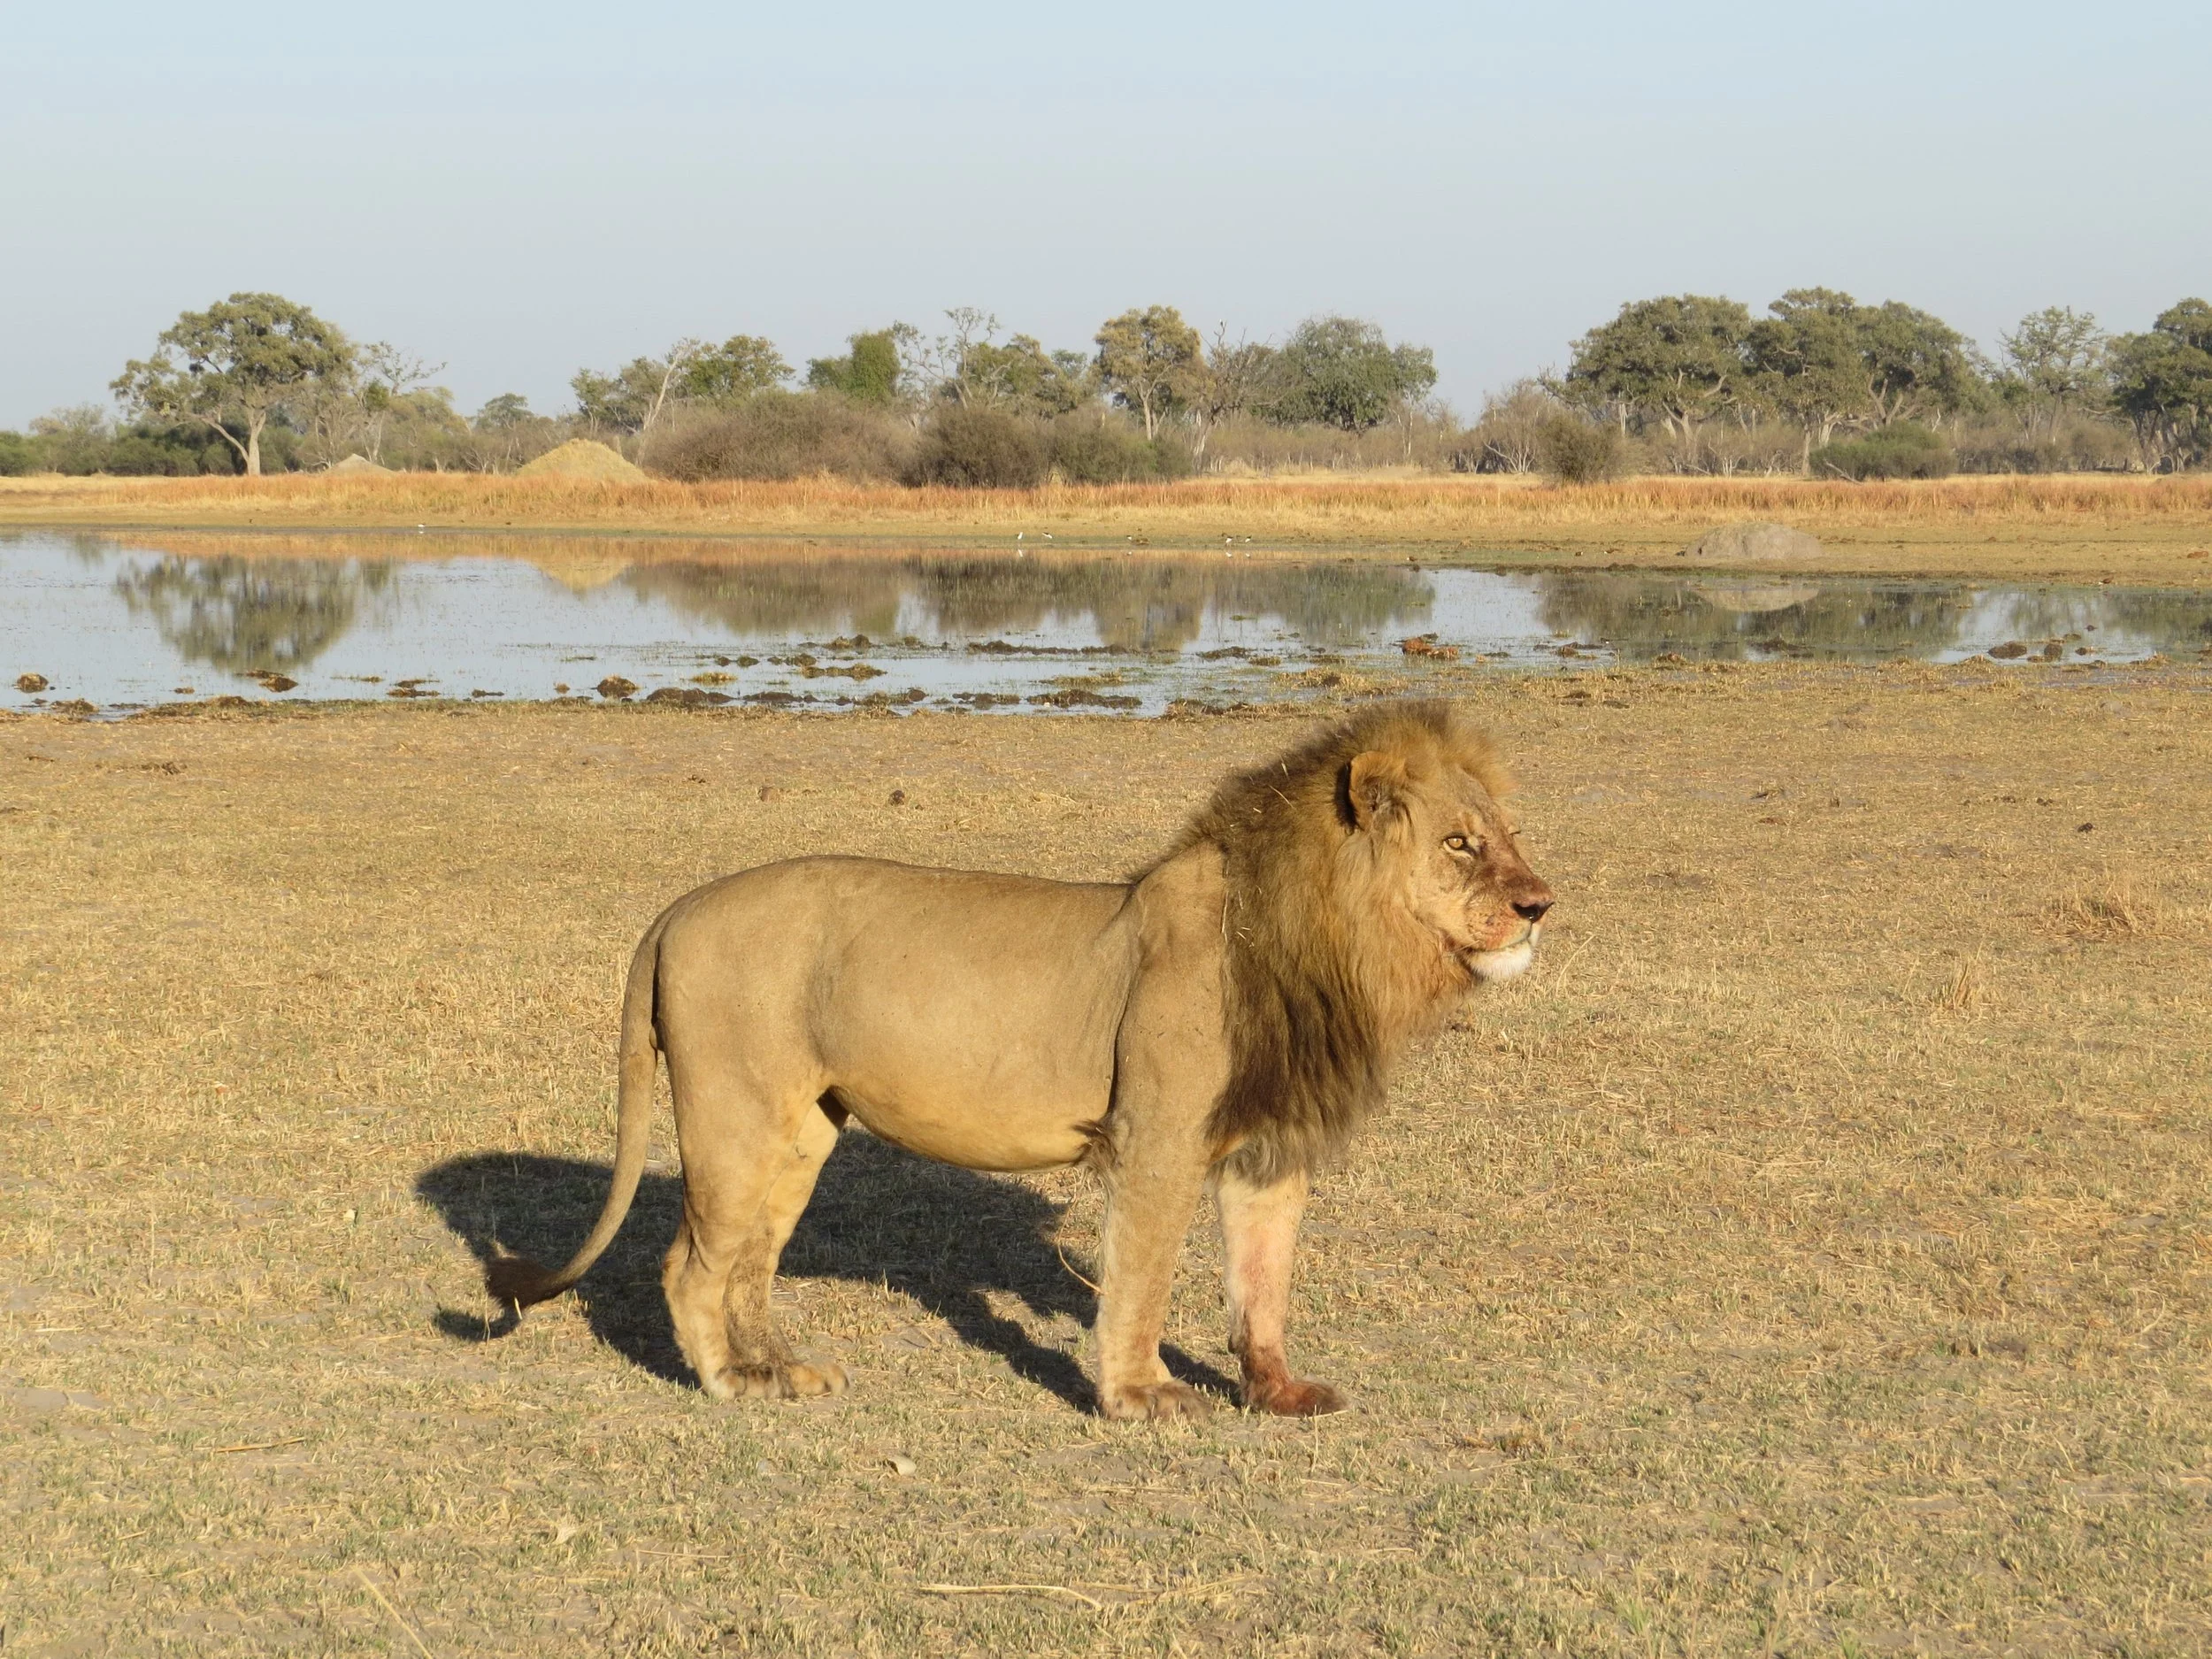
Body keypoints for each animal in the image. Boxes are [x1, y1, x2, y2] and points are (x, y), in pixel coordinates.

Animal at [487, 700, 1553, 1420]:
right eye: (1461, 845)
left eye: (1510, 835)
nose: (1541, 903)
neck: (1331, 944)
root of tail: (676, 910)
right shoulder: (1157, 1139)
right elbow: (1143, 1278)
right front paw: (1140, 1398)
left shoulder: (1267, 1150)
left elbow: (1264, 1282)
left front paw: (1277, 1391)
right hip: (733, 1116)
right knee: (689, 1265)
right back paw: (729, 1383)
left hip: (801, 1131)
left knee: (751, 1261)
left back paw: (779, 1370)